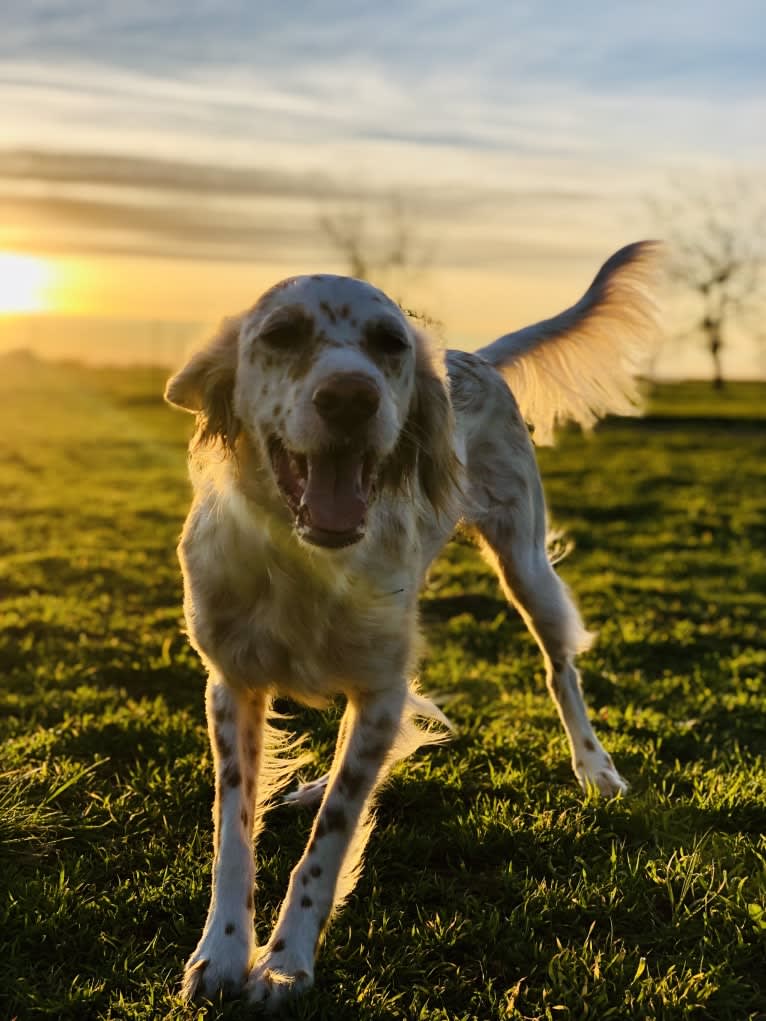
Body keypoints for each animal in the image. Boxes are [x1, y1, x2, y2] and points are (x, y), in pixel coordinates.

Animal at [166, 242, 661, 1008]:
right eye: (281, 333)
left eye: (390, 343)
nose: (350, 397)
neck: (307, 558)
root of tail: (472, 355)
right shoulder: (233, 684)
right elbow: (235, 832)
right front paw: (221, 953)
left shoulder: (378, 689)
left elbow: (329, 840)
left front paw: (284, 961)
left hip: (526, 568)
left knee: (561, 669)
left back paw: (595, 767)